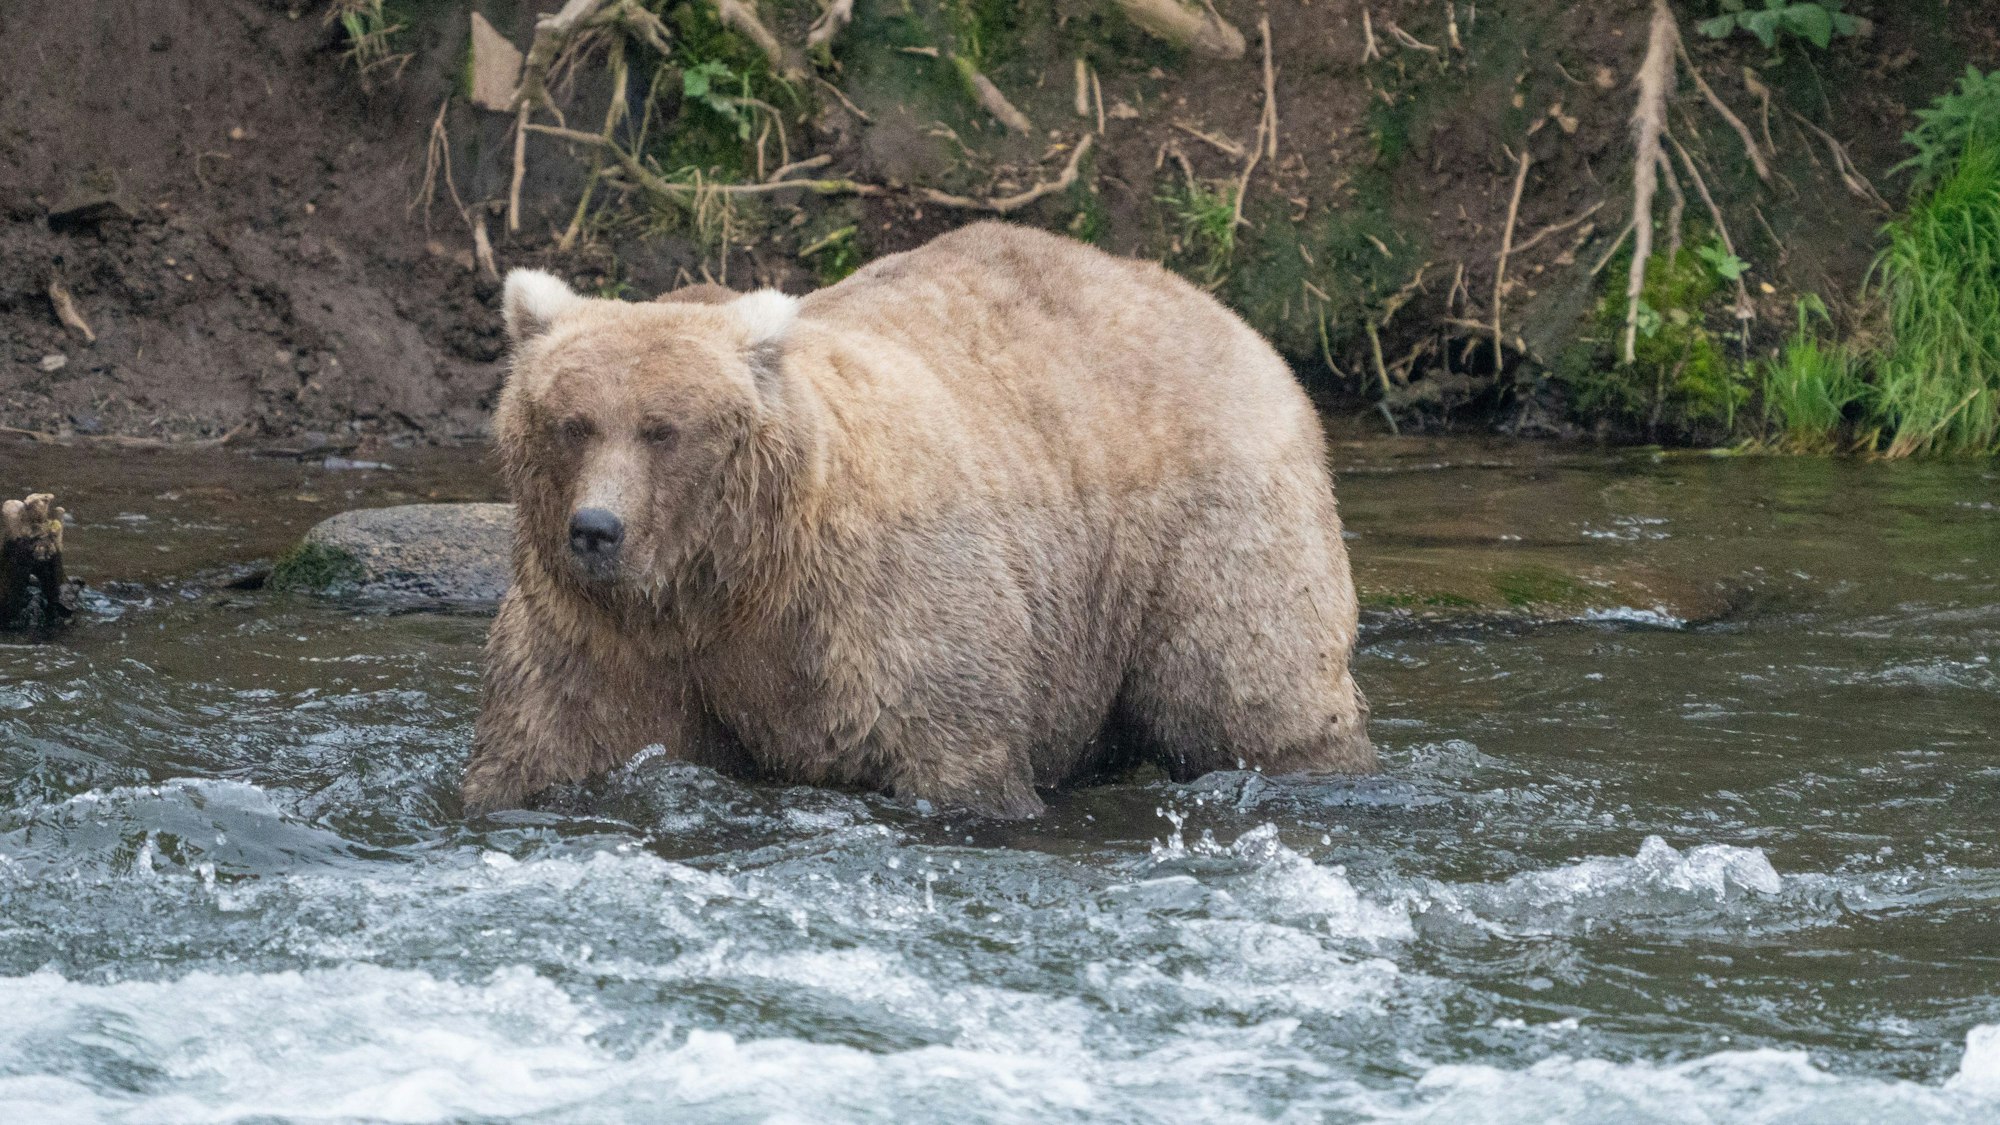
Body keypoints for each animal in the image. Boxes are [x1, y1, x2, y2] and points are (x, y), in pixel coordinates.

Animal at [463, 222, 1372, 817]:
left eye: (663, 429)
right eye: (572, 422)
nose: (596, 528)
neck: (730, 578)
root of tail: (1225, 314)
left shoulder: (878, 607)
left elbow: (951, 748)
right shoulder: (604, 634)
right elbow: (553, 739)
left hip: (1206, 523)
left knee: (1248, 687)